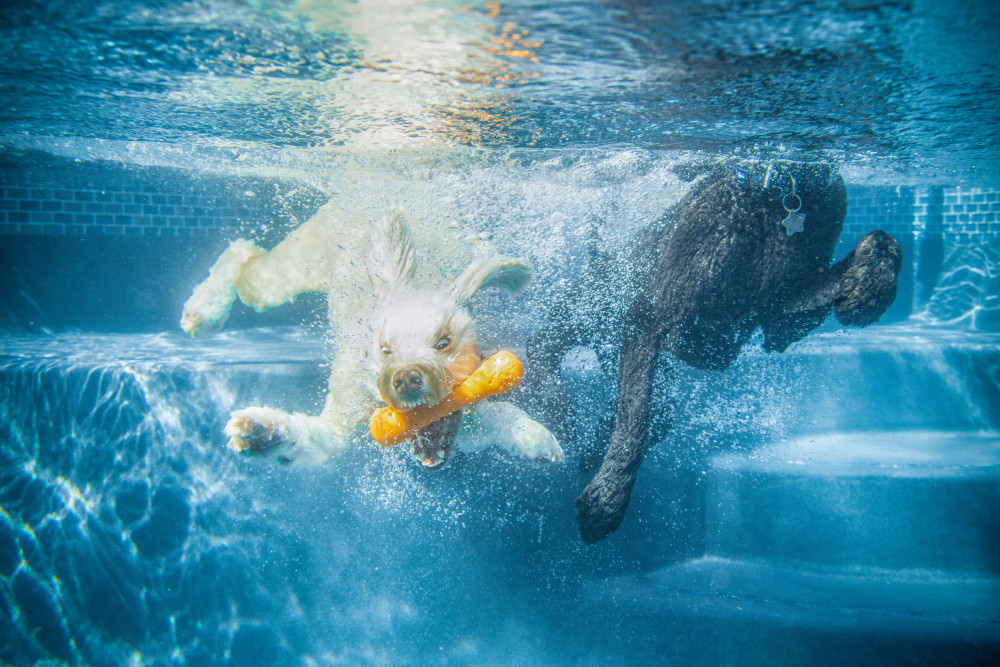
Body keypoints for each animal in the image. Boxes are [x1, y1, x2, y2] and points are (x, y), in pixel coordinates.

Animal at [180, 204, 564, 470]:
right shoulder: (351, 403)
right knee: (245, 255)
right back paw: (203, 309)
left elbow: (496, 413)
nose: (406, 378)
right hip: (298, 264)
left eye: (443, 343)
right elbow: (319, 438)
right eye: (385, 350)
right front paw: (261, 431)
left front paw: (534, 437)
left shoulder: (468, 420)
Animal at [528, 160, 904, 544]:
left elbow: (879, 239)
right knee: (542, 349)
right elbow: (636, 421)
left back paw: (594, 439)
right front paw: (608, 498)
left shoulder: (780, 321)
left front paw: (872, 284)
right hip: (582, 313)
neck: (777, 196)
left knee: (660, 409)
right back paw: (559, 409)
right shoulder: (649, 315)